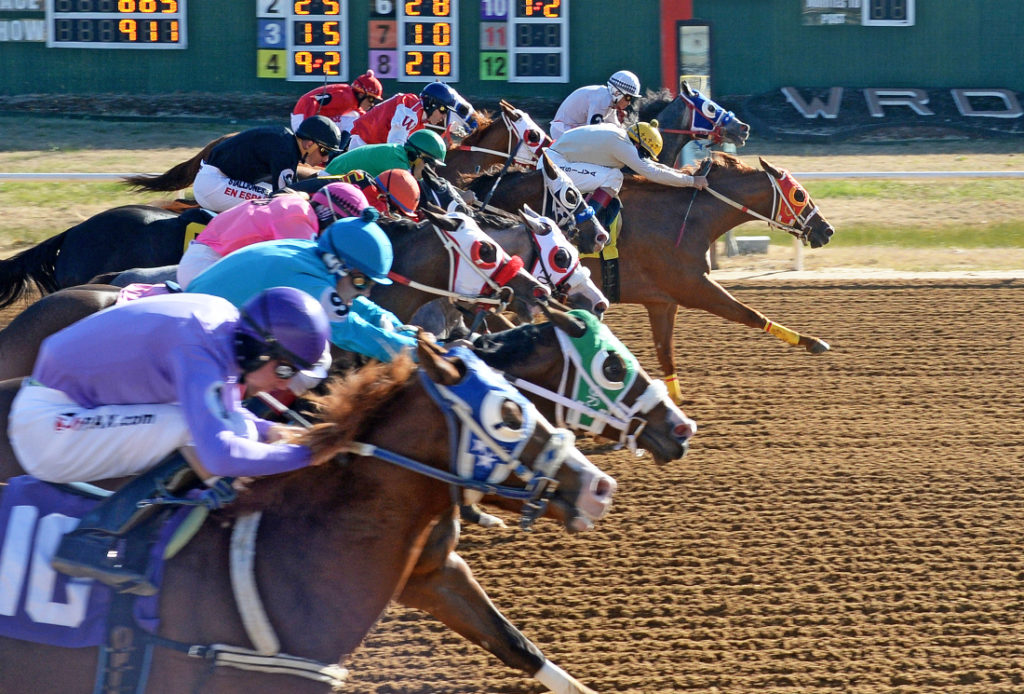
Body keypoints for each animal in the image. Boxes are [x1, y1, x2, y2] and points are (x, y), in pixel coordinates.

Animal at [468, 152, 835, 403]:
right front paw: (813, 341)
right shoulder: (694, 287)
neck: (687, 218)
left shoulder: (662, 302)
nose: (826, 229)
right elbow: (750, 314)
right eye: (799, 194)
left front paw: (673, 403)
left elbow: (665, 353)